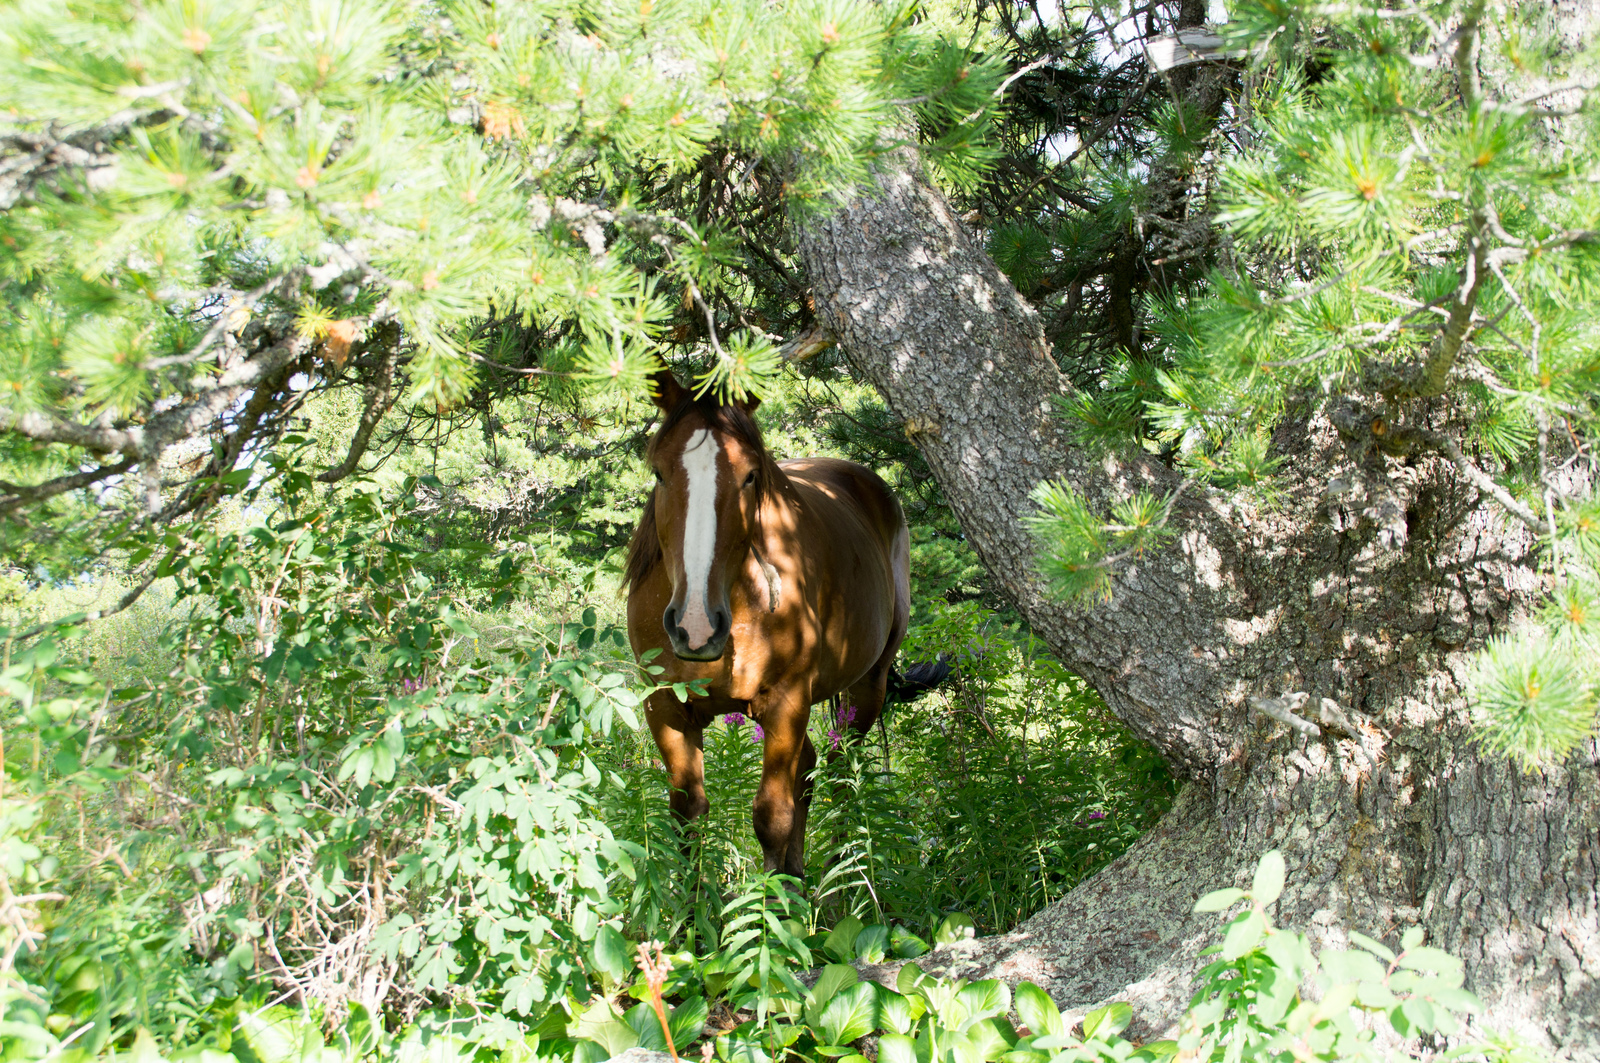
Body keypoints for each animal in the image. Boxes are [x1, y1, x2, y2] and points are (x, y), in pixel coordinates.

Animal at [627, 369, 915, 877]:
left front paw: (773, 901)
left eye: (750, 476)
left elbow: (772, 818)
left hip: (868, 686)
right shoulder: (665, 707)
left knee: (841, 771)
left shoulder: (786, 702)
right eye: (659, 472)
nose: (696, 627)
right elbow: (686, 817)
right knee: (813, 771)